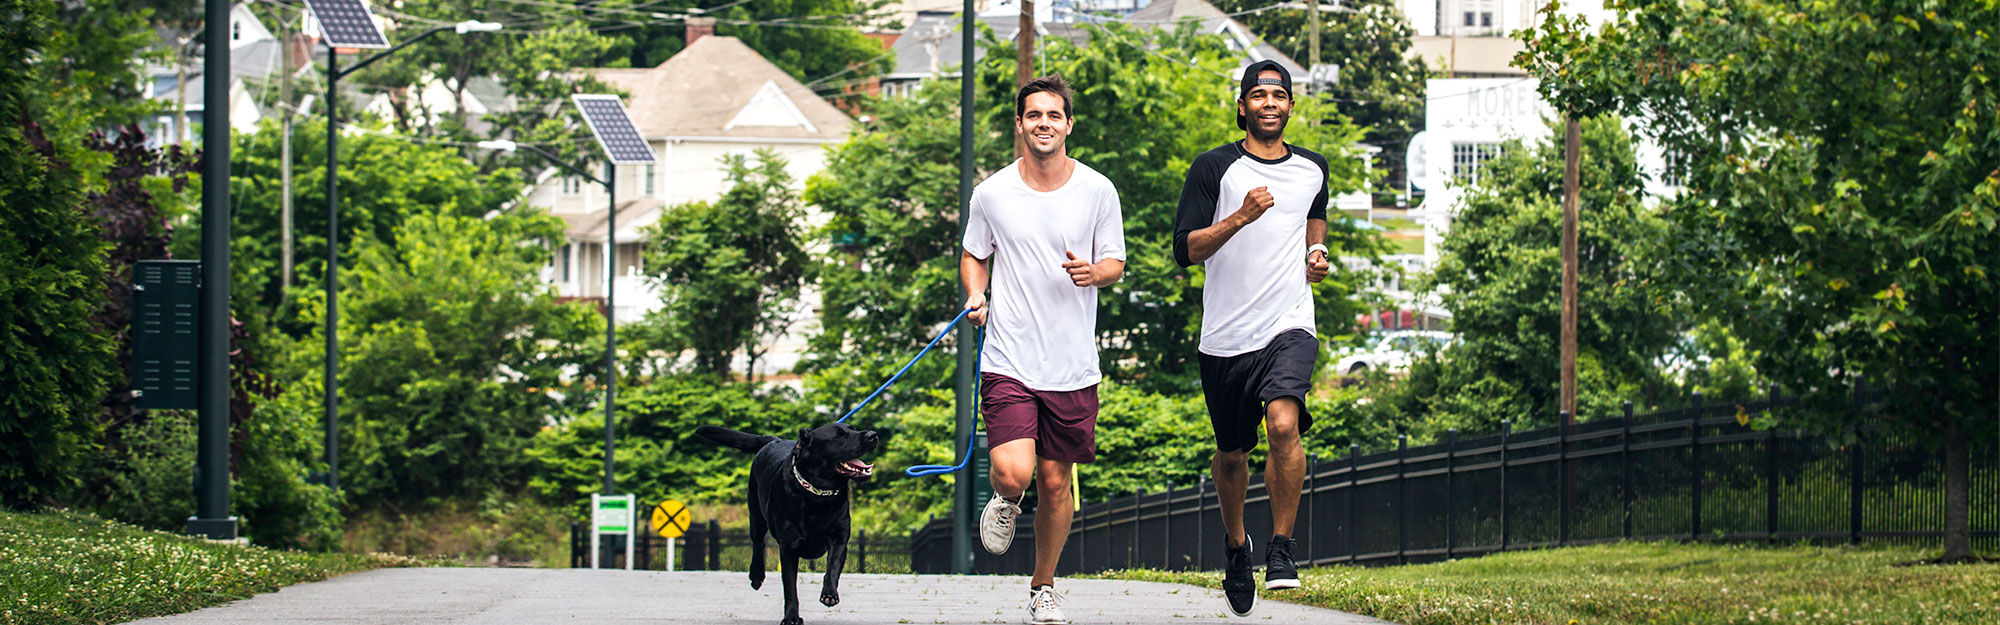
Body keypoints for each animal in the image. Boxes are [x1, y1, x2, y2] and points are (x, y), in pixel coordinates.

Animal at [696, 422, 876, 620]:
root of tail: (774, 440)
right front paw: (791, 618)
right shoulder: (788, 548)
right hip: (756, 517)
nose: (873, 435)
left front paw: (829, 594)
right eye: (839, 435)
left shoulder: (839, 540)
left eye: (853, 428)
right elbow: (790, 588)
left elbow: (833, 569)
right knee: (758, 544)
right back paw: (756, 575)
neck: (817, 496)